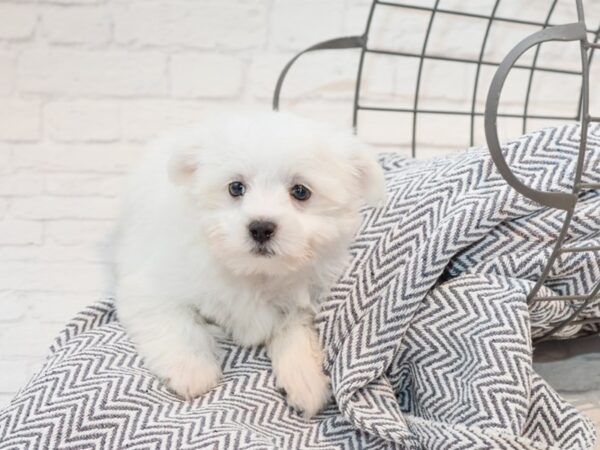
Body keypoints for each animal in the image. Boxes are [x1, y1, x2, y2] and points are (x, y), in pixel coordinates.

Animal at [113, 112, 384, 418]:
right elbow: (176, 322)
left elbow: (295, 328)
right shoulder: (151, 286)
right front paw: (192, 369)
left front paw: (305, 378)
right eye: (236, 188)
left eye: (300, 192)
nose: (261, 227)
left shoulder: (302, 295)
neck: (254, 271)